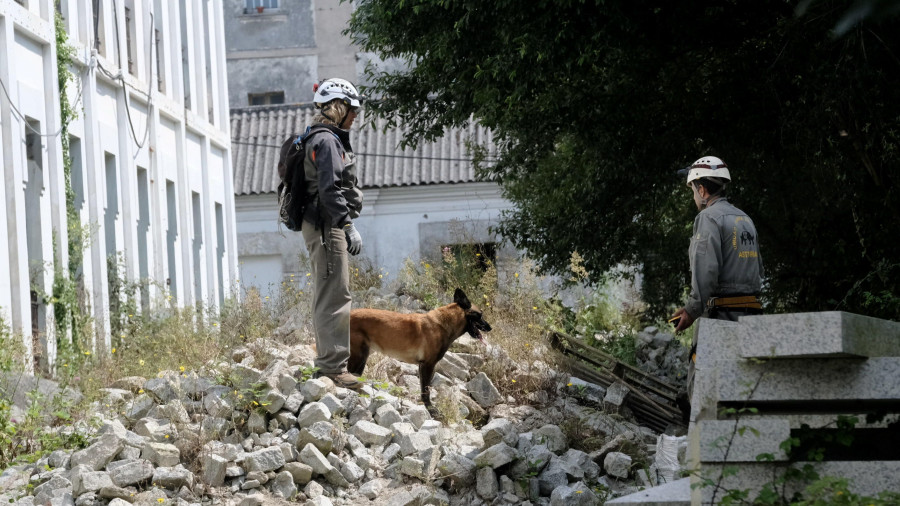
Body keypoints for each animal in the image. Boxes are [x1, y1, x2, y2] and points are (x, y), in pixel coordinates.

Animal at [350, 288, 492, 408]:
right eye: (480, 315)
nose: (490, 328)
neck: (444, 324)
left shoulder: (423, 366)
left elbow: (425, 388)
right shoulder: (427, 365)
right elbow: (426, 390)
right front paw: (429, 407)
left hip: (362, 357)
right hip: (359, 356)